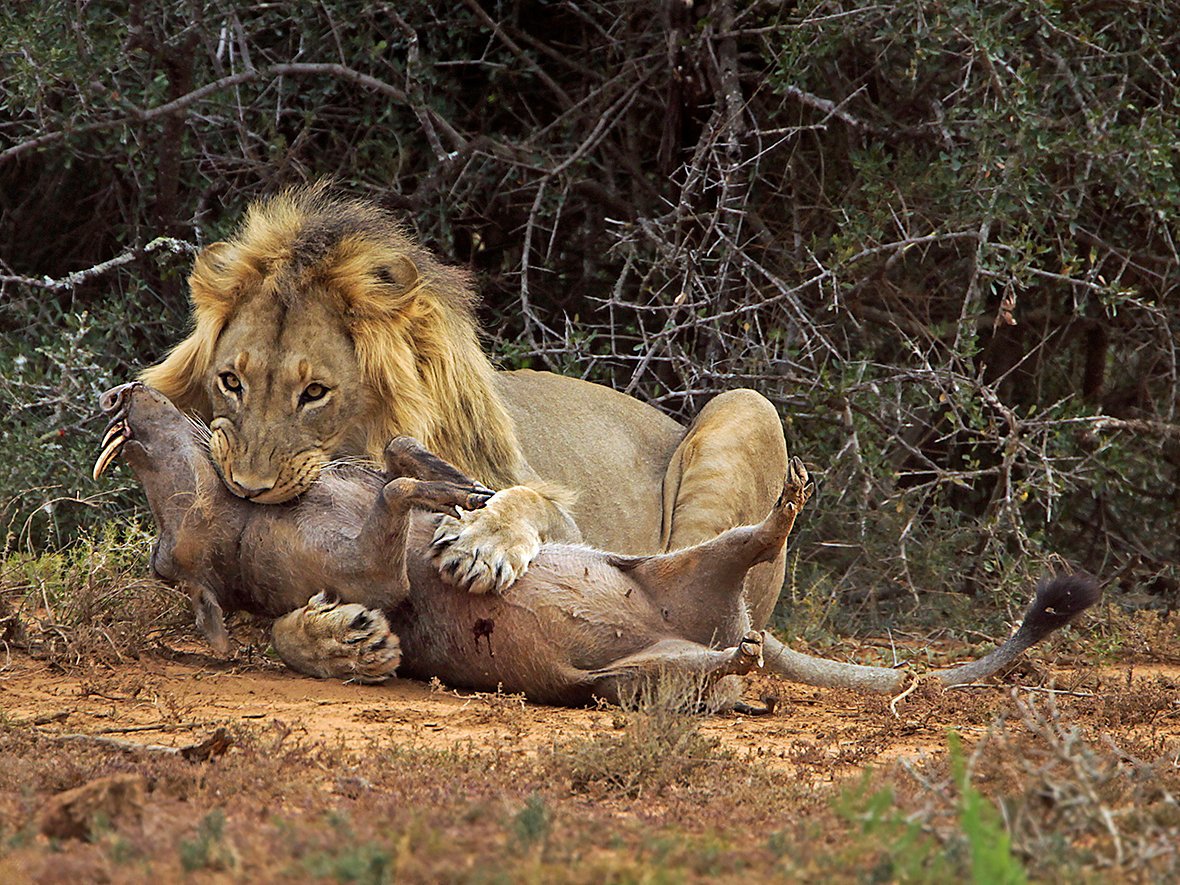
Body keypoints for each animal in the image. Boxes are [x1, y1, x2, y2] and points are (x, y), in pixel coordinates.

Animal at [140, 183, 792, 655]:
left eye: (315, 393)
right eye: (231, 382)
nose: (247, 489)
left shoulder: (567, 521)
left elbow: (525, 500)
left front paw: (482, 544)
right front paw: (336, 640)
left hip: (747, 406)